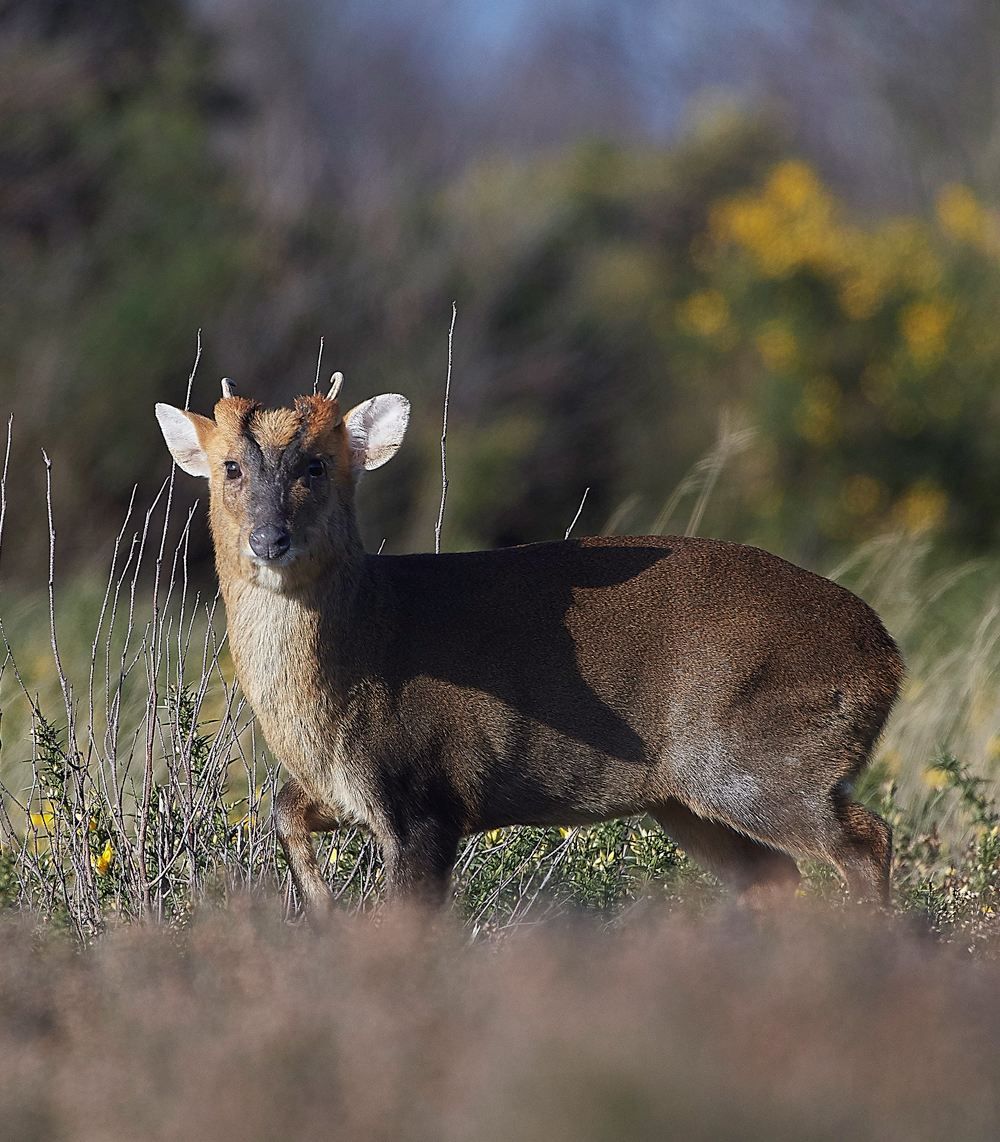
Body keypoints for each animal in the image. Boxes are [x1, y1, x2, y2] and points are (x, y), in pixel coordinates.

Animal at [158, 379, 904, 913]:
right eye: (230, 467)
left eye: (315, 464)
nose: (268, 539)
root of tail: (887, 657)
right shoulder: (345, 793)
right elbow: (282, 812)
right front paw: (321, 914)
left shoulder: (427, 797)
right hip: (687, 796)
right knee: (779, 875)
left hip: (753, 759)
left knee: (865, 841)